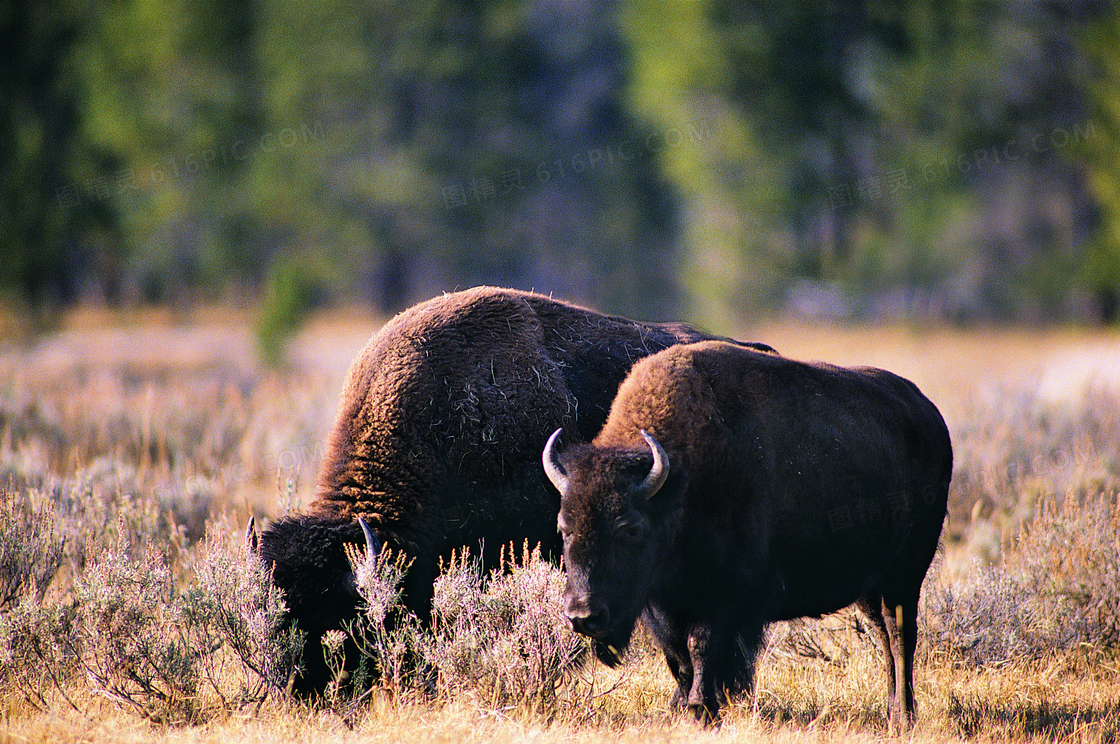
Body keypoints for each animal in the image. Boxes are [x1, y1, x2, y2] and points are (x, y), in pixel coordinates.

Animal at [542, 340, 954, 730]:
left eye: (630, 528)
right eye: (564, 527)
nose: (583, 616)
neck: (679, 485)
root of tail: (930, 416)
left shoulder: (727, 597)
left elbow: (702, 647)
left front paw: (700, 708)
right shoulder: (663, 606)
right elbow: (679, 657)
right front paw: (684, 707)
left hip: (906, 573)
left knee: (900, 637)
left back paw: (903, 715)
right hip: (871, 585)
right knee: (883, 636)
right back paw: (892, 712)